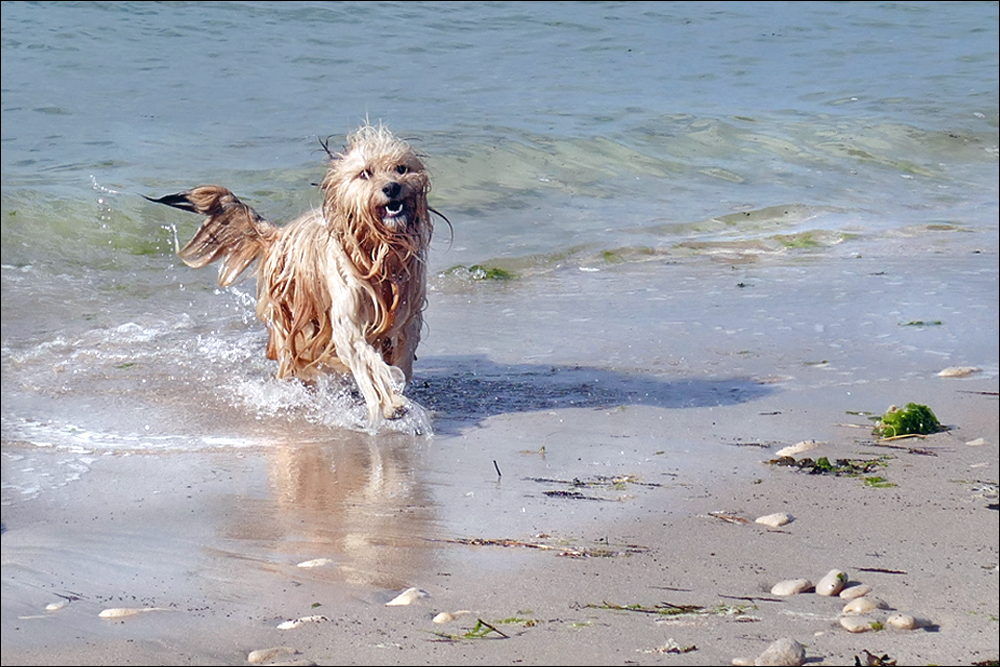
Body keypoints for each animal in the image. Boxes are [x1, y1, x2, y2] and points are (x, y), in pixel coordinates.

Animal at [148, 123, 434, 426]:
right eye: (365, 173)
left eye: (401, 168)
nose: (391, 187)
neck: (378, 251)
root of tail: (276, 234)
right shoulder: (349, 321)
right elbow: (368, 361)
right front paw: (392, 403)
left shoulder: (406, 319)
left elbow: (399, 356)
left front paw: (394, 395)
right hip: (291, 321)